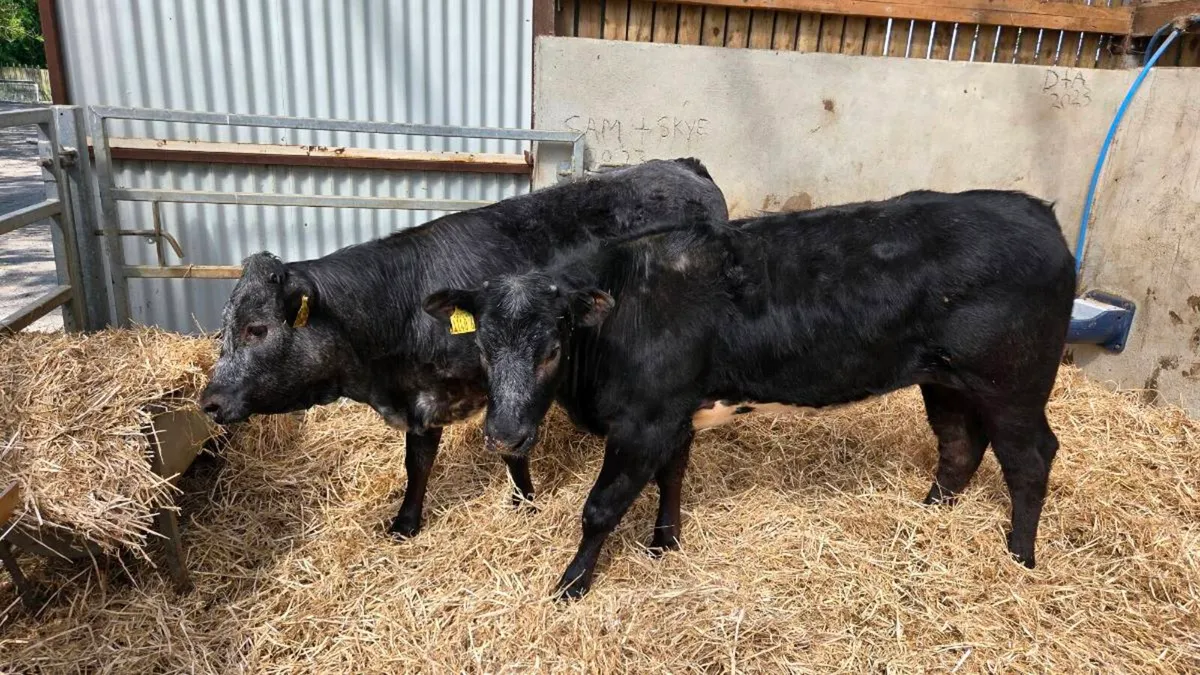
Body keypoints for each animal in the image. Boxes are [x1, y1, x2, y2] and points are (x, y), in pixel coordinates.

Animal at [197, 158, 729, 538]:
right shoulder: (423, 398)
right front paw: (407, 522)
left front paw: (522, 501)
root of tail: (681, 166)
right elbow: (419, 462)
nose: (209, 401)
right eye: (224, 327)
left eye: (257, 329)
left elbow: (508, 449)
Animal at [424, 189, 1077, 599]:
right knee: (960, 446)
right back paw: (927, 517)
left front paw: (570, 585)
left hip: (1013, 387)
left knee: (1029, 459)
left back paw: (1019, 556)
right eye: (481, 345)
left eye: (552, 348)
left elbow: (601, 507)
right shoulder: (675, 414)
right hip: (946, 381)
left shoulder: (644, 422)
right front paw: (665, 545)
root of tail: (1035, 211)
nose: (504, 435)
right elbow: (673, 479)